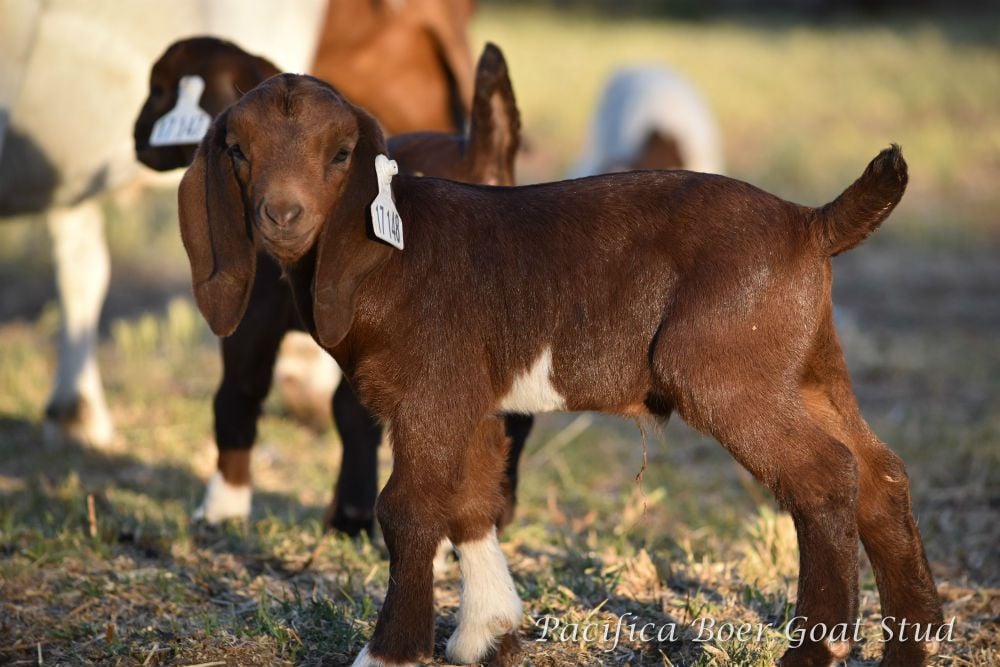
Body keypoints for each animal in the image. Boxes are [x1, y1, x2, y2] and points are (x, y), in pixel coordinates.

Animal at [135, 38, 531, 533]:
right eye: (240, 149)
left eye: (158, 89)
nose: (136, 138)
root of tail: (481, 155)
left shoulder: (256, 315)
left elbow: (239, 393)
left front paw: (223, 507)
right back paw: (497, 506)